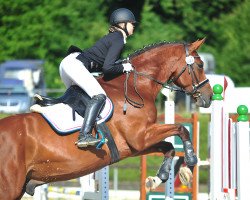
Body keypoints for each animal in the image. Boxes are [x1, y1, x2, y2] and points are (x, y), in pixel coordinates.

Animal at [0, 38, 213, 199]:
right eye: (200, 65)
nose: (209, 96)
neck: (135, 88)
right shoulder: (140, 136)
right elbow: (180, 129)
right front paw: (190, 162)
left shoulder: (135, 146)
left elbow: (168, 146)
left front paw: (158, 178)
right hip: (10, 188)